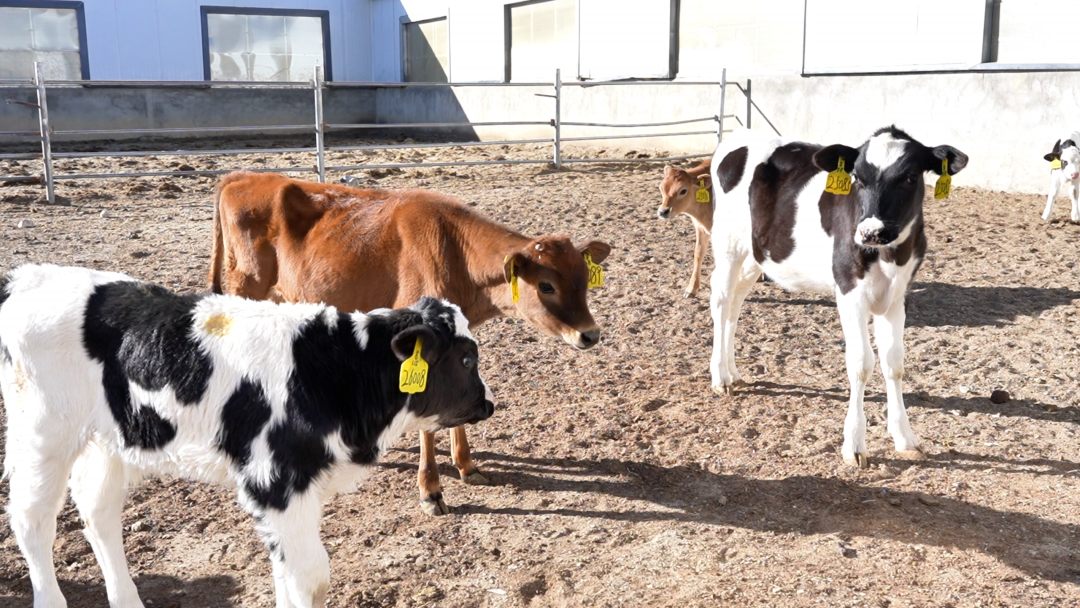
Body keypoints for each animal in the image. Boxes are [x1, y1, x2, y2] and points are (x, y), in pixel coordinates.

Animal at [0, 264, 495, 608]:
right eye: (467, 359)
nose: (489, 404)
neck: (336, 371)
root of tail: (26, 277)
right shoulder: (273, 480)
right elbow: (312, 578)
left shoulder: (294, 491)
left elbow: (288, 574)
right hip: (42, 433)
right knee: (33, 521)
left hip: (108, 439)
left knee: (98, 513)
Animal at [207, 171, 611, 515]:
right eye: (546, 285)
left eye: (584, 280)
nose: (590, 334)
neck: (455, 252)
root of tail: (241, 177)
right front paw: (431, 491)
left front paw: (467, 466)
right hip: (245, 288)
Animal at [657, 159, 713, 297]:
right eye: (661, 188)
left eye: (683, 190)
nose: (663, 211)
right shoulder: (700, 227)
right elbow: (698, 253)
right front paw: (691, 288)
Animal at [707, 127, 967, 468]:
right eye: (857, 177)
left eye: (910, 177)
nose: (871, 232)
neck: (888, 255)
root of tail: (740, 134)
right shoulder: (849, 291)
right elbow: (861, 362)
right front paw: (854, 444)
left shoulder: (898, 295)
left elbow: (894, 362)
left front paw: (904, 437)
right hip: (727, 243)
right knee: (721, 300)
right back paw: (720, 376)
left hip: (756, 253)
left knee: (736, 305)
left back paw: (733, 372)